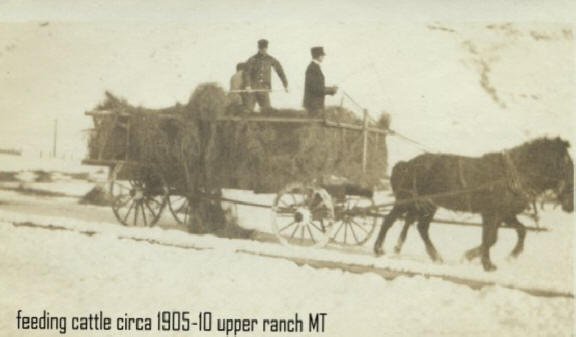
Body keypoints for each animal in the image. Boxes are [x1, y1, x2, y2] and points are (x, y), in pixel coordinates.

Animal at [374, 136, 572, 270]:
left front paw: (506, 256)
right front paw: (486, 263)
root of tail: (406, 164)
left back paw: (435, 256)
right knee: (388, 220)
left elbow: (515, 233)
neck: (513, 175)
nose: (570, 205)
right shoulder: (491, 213)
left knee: (421, 227)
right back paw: (378, 249)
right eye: (566, 165)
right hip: (406, 202)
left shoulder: (504, 214)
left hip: (428, 206)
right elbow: (489, 238)